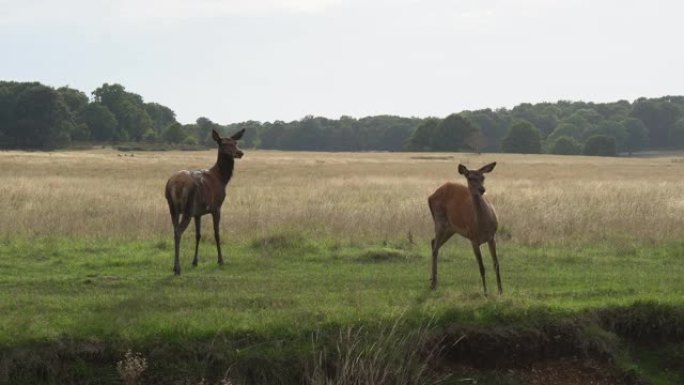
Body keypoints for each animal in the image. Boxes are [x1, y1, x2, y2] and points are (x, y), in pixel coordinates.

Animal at [164, 127, 244, 274]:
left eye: (235, 142)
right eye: (224, 143)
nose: (239, 153)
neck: (221, 179)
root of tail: (175, 184)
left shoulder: (198, 213)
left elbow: (198, 234)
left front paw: (195, 261)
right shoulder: (217, 207)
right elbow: (216, 233)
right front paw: (221, 260)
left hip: (173, 208)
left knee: (174, 230)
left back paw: (175, 266)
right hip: (187, 208)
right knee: (178, 232)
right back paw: (177, 268)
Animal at [428, 160, 502, 292]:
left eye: (483, 177)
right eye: (470, 177)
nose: (482, 189)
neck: (482, 226)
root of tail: (430, 196)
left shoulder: (492, 237)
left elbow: (496, 264)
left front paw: (500, 291)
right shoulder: (473, 239)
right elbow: (481, 267)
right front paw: (485, 292)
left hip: (450, 229)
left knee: (433, 242)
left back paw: (433, 281)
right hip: (439, 221)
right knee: (435, 248)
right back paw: (433, 283)